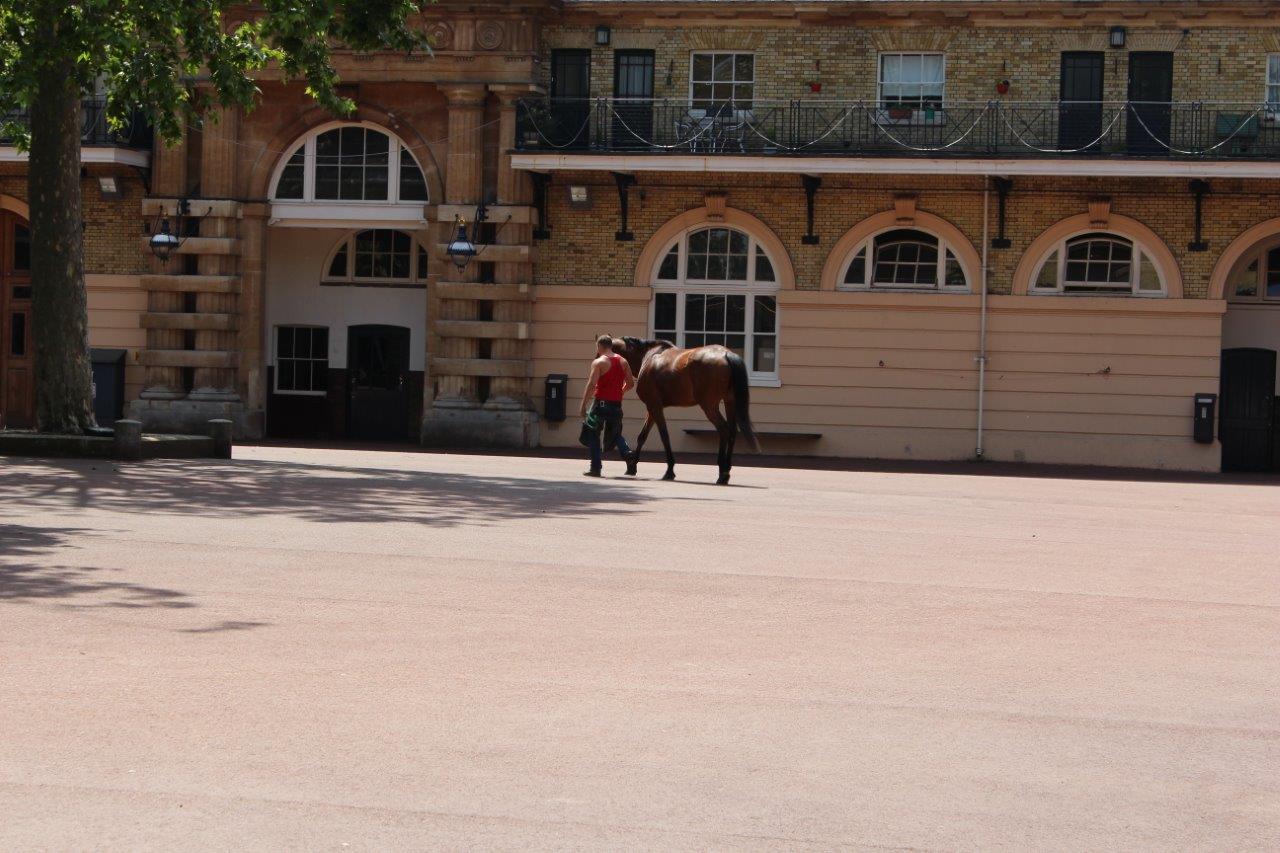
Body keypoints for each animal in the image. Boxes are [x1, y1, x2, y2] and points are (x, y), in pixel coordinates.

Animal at [611, 338, 752, 484]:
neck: (649, 356)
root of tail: (726, 354)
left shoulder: (654, 406)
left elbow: (664, 436)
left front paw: (669, 470)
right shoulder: (652, 408)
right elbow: (642, 436)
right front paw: (632, 467)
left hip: (709, 406)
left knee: (724, 430)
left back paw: (722, 473)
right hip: (730, 402)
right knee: (732, 432)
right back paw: (726, 471)